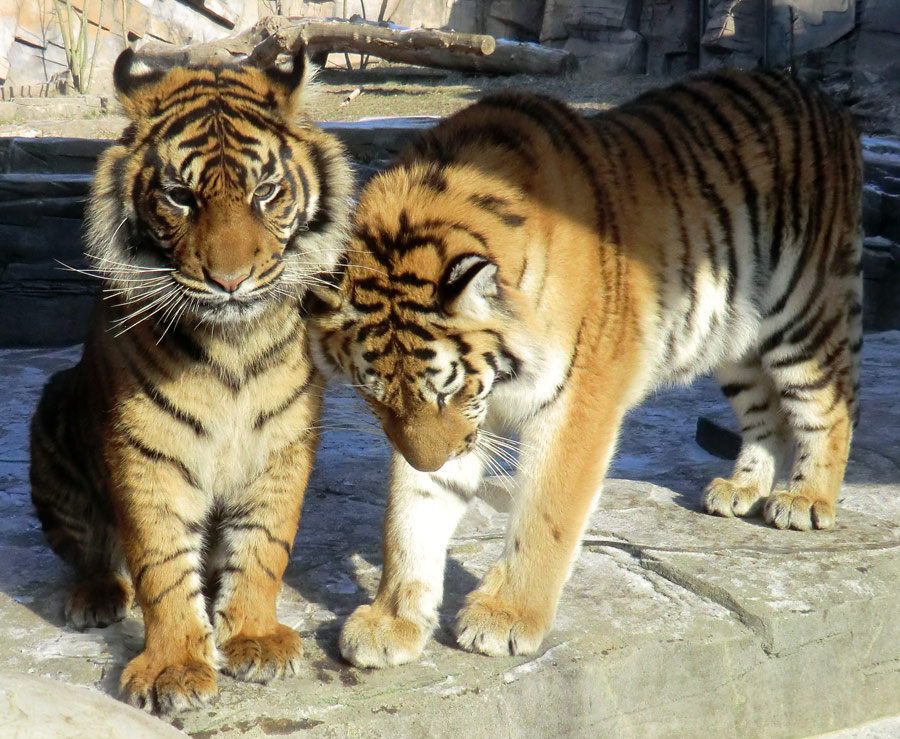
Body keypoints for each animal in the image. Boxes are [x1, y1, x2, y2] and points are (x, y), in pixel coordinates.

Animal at [29, 47, 352, 712]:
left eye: (265, 191)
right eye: (180, 196)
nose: (230, 280)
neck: (233, 343)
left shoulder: (283, 439)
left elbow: (265, 546)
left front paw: (254, 638)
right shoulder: (146, 448)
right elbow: (159, 562)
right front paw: (174, 667)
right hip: (53, 409)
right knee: (90, 554)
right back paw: (98, 596)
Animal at [312, 69, 864, 668]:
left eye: (449, 391)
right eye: (375, 394)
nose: (432, 460)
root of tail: (823, 100)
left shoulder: (577, 400)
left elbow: (546, 516)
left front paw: (506, 617)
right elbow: (410, 516)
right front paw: (390, 621)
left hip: (802, 314)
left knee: (830, 407)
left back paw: (805, 501)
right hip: (734, 336)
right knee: (768, 416)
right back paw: (741, 489)